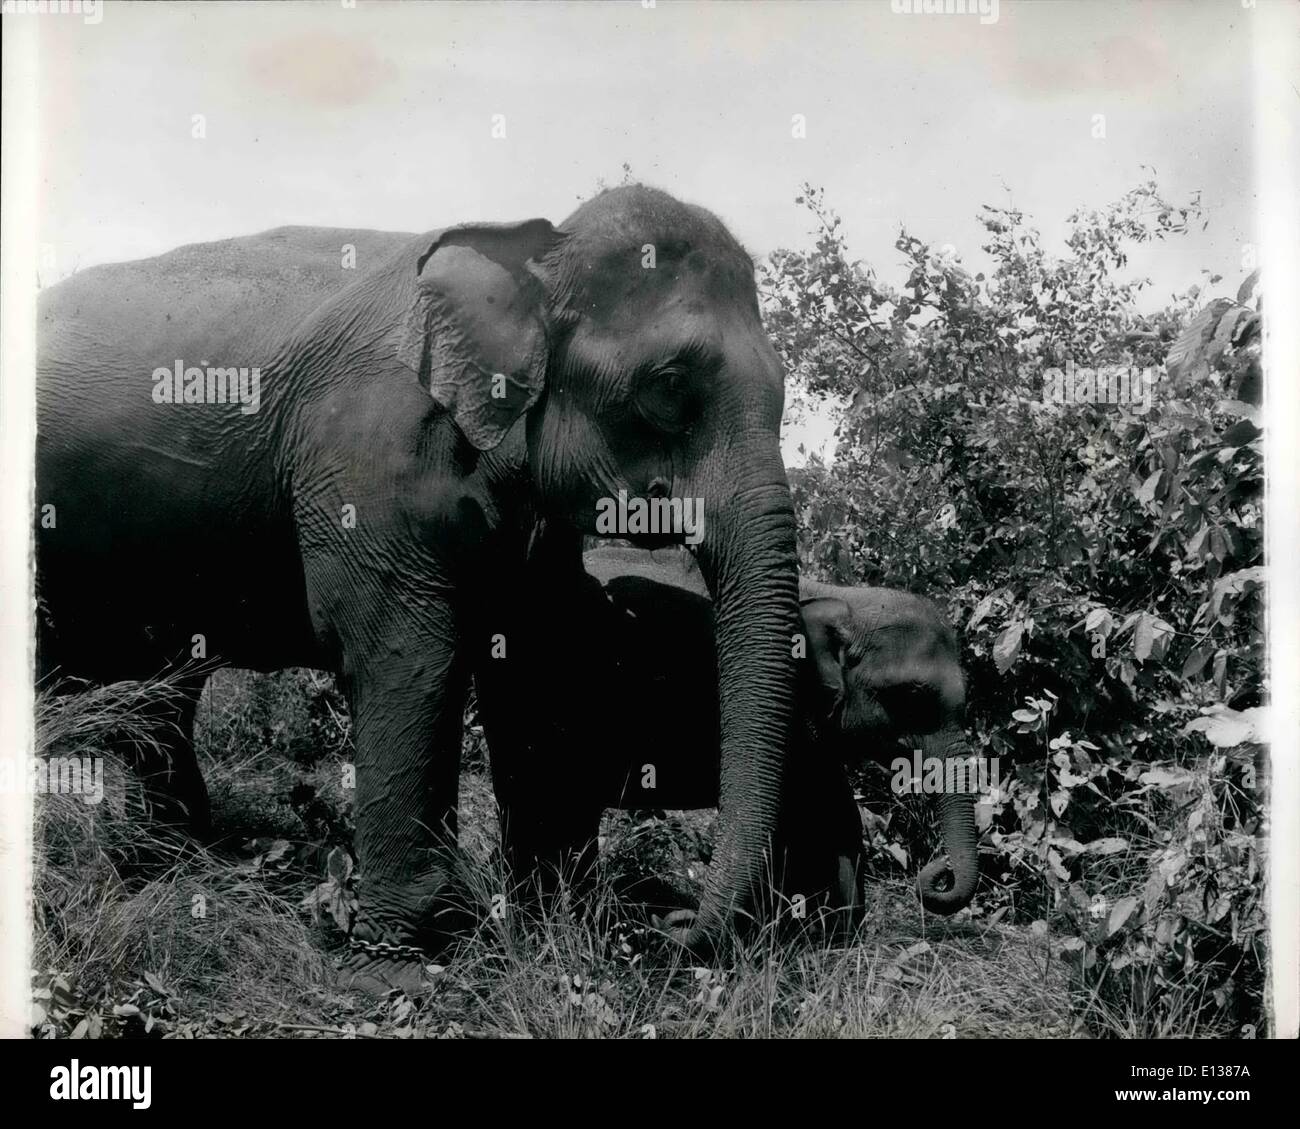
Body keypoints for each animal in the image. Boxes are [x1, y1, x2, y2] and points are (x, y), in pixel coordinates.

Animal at [35, 186, 803, 992]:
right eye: (669, 388)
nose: (675, 932)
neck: (534, 252)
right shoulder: (362, 459)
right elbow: (406, 654)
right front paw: (411, 953)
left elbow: (533, 668)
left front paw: (559, 923)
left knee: (164, 688)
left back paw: (171, 864)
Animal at [480, 544, 978, 935]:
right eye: (912, 697)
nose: (935, 874)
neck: (845, 598)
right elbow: (800, 818)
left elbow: (838, 815)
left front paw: (834, 937)